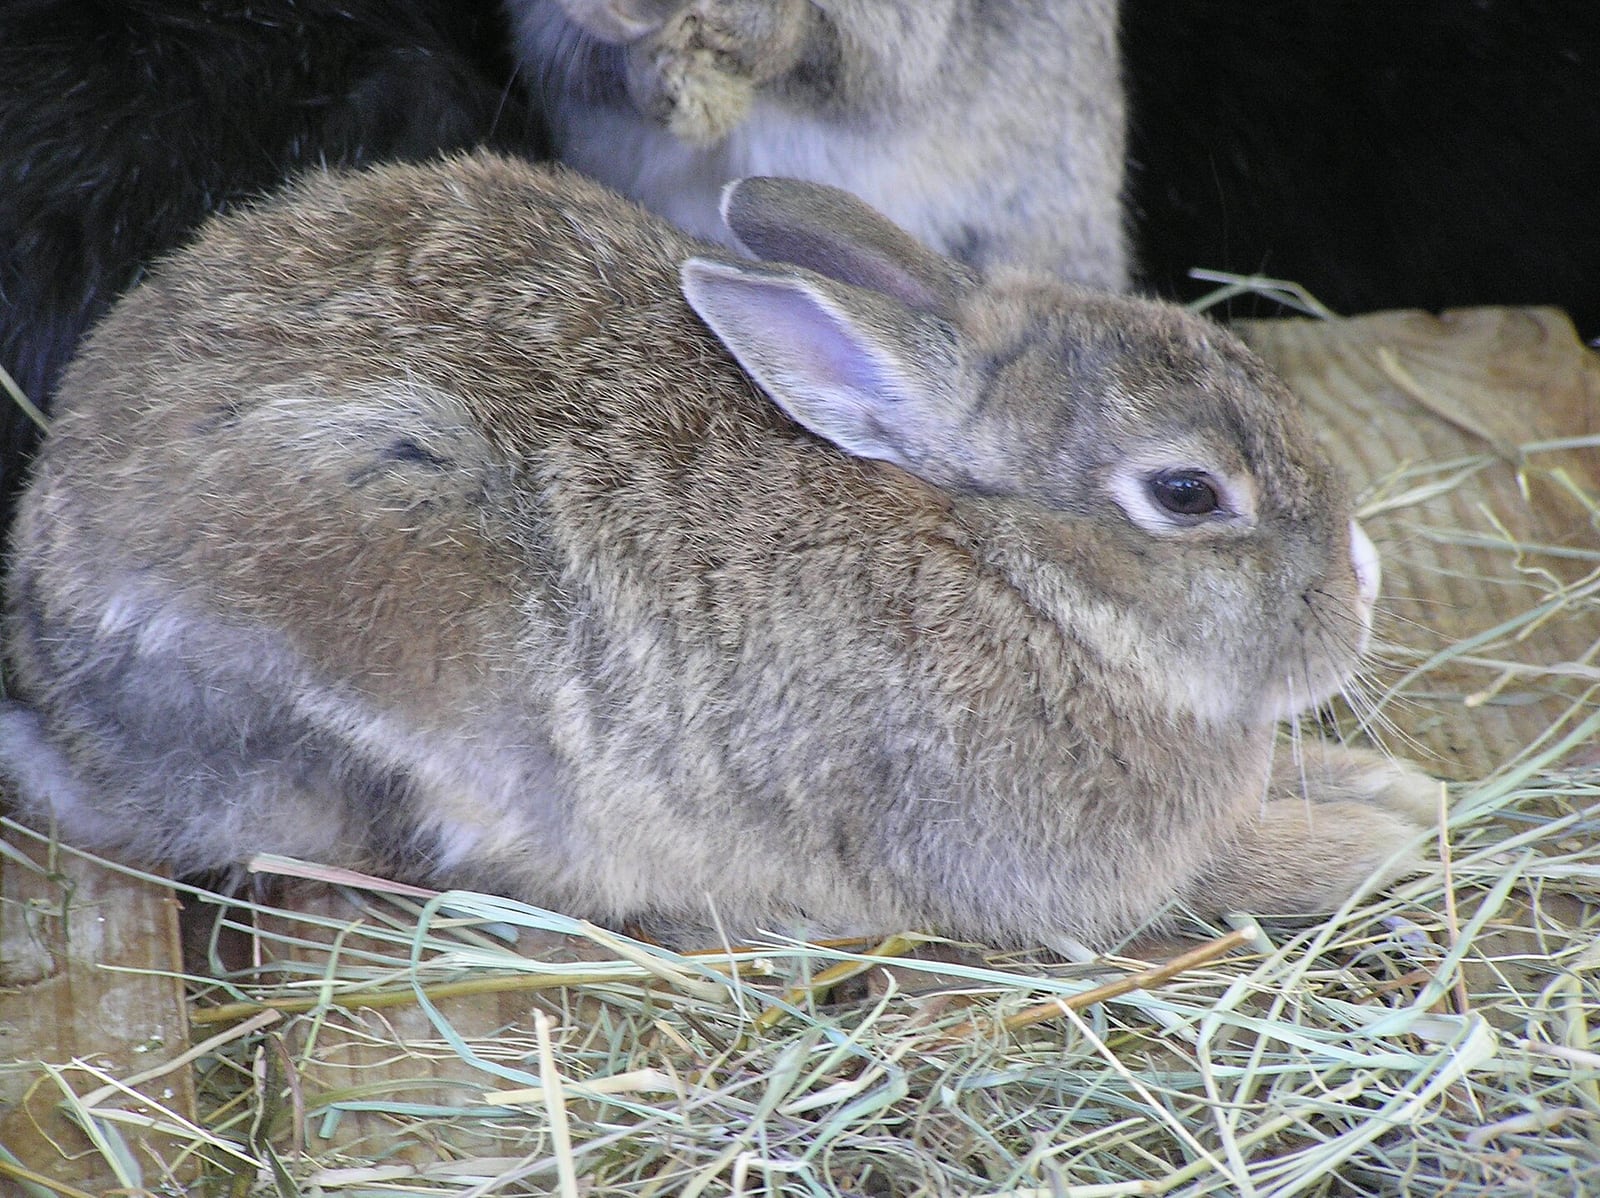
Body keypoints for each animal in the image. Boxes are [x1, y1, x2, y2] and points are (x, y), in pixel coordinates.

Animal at [0, 151, 1435, 949]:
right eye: (1187, 493)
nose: (1363, 583)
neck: (1015, 571)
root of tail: (51, 671)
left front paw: (1394, 787)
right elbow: (1223, 871)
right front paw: (1381, 840)